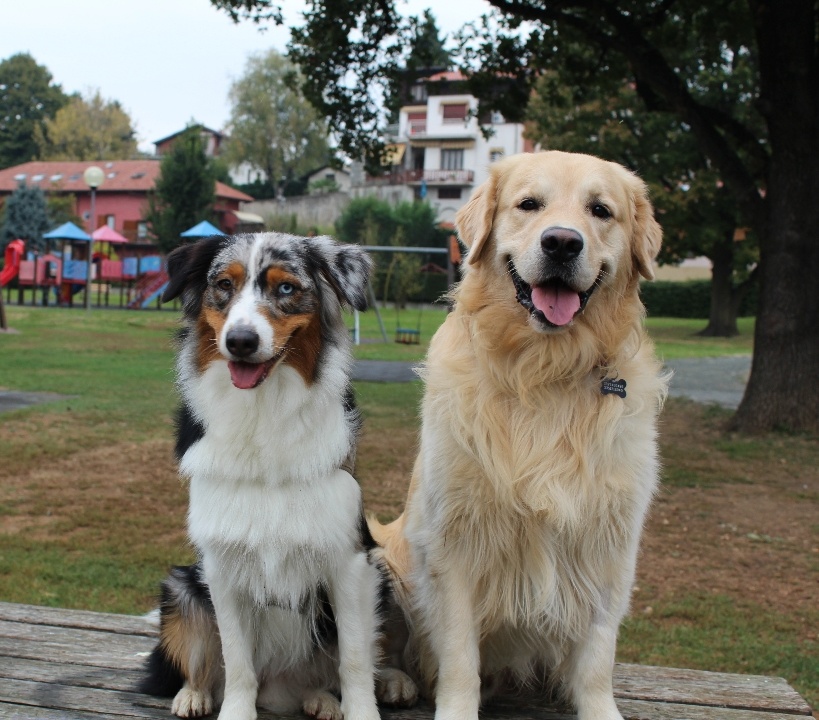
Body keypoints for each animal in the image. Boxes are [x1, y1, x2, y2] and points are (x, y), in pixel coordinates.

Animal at [139, 233, 416, 716]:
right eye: (223, 286)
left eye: (285, 288)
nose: (240, 342)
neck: (263, 412)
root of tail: (283, 688)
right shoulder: (220, 566)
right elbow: (237, 660)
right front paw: (233, 711)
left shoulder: (349, 560)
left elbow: (356, 658)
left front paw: (362, 709)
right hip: (181, 585)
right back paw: (194, 693)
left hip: (384, 571)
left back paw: (371, 687)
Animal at [372, 150, 668, 720]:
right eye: (528, 204)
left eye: (601, 211)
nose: (562, 242)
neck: (544, 372)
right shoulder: (454, 544)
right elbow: (459, 656)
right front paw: (456, 708)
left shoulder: (610, 546)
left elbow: (597, 658)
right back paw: (394, 682)